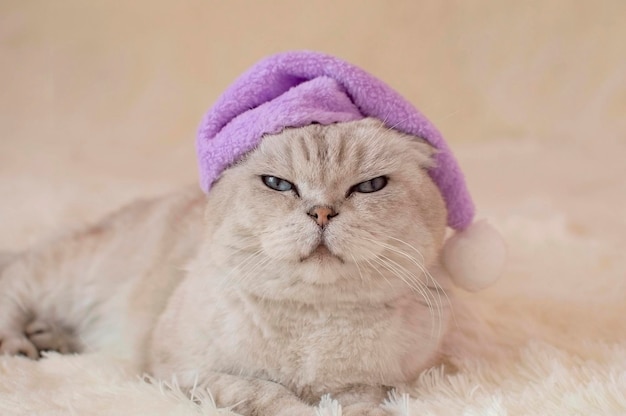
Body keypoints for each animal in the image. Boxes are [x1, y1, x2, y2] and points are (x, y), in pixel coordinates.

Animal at [0, 118, 450, 416]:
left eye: (370, 187)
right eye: (279, 185)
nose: (322, 212)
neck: (314, 322)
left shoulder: (375, 385)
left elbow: (362, 405)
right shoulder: (183, 373)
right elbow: (268, 394)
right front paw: (298, 406)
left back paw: (50, 339)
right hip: (67, 277)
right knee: (14, 284)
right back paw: (21, 345)